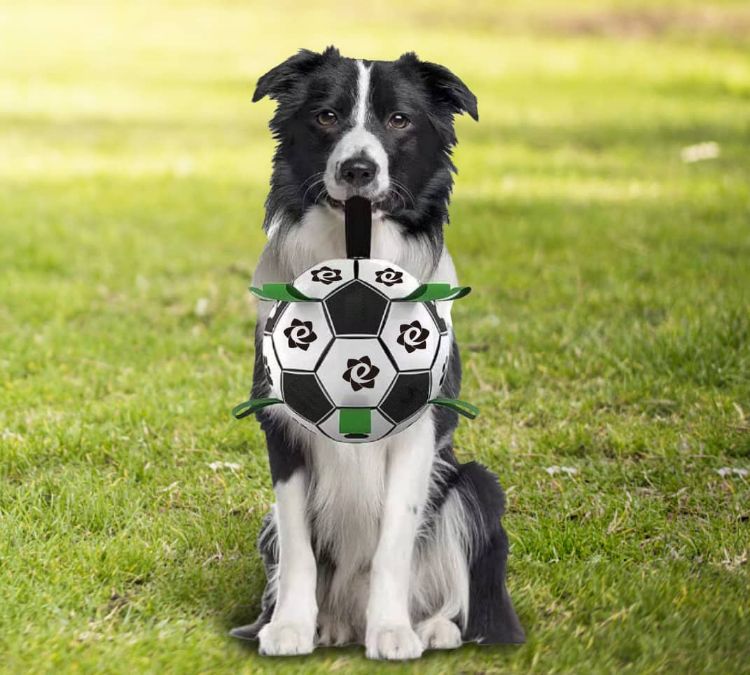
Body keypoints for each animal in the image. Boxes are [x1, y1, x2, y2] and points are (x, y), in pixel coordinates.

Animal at [232, 46, 524, 660]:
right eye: (326, 116)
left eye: (398, 120)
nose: (358, 171)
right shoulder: (284, 429)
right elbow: (298, 544)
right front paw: (289, 627)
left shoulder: (417, 431)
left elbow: (394, 541)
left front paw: (391, 631)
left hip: (474, 486)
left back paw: (431, 627)